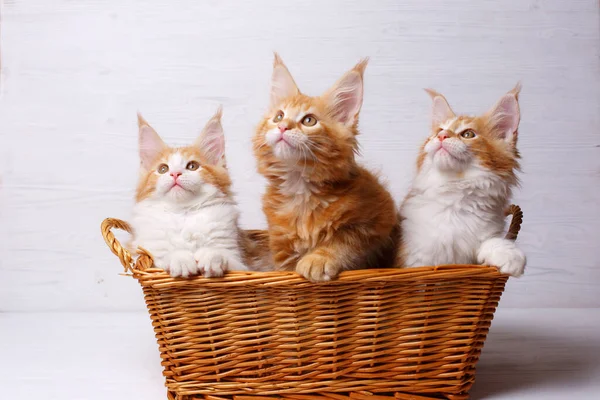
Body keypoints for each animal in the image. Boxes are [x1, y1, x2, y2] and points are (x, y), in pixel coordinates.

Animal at [130, 109, 250, 278]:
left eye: (192, 166)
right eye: (163, 169)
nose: (175, 174)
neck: (182, 213)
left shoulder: (241, 261)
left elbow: (226, 258)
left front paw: (211, 256)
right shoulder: (143, 255)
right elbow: (162, 258)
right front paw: (180, 260)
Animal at [252, 54, 398, 282]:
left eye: (309, 120)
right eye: (279, 116)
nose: (283, 127)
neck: (300, 188)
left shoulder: (379, 219)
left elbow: (344, 240)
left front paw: (317, 259)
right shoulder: (281, 245)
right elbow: (286, 268)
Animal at [400, 85, 528, 276]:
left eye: (468, 134)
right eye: (439, 131)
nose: (442, 135)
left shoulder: (487, 232)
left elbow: (492, 242)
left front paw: (509, 255)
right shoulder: (413, 255)